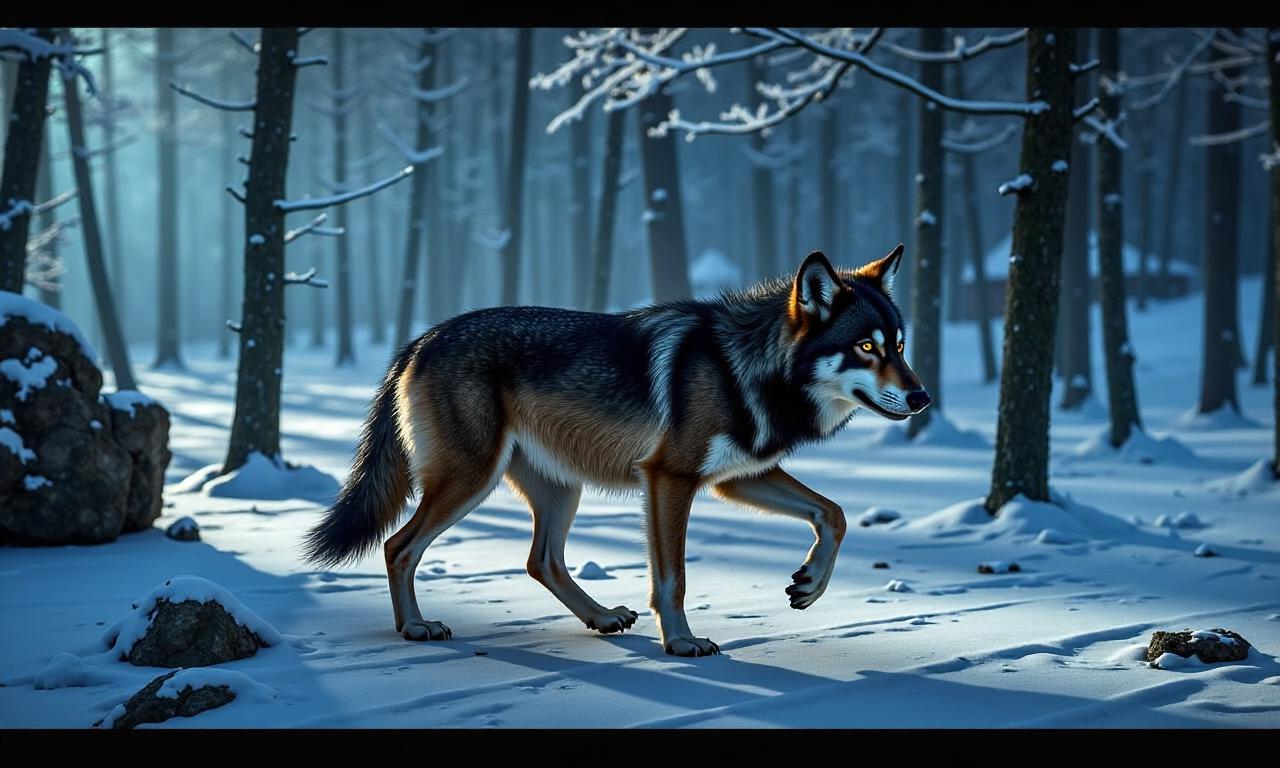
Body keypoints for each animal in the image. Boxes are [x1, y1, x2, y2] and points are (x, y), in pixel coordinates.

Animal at [303, 245, 931, 656]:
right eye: (866, 347)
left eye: (900, 345)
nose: (922, 397)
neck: (742, 368)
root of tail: (421, 339)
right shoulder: (669, 478)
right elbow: (673, 577)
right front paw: (682, 643)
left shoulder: (735, 479)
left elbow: (835, 513)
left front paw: (809, 585)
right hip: (471, 481)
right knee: (397, 546)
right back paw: (415, 628)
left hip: (560, 489)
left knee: (541, 560)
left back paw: (602, 618)